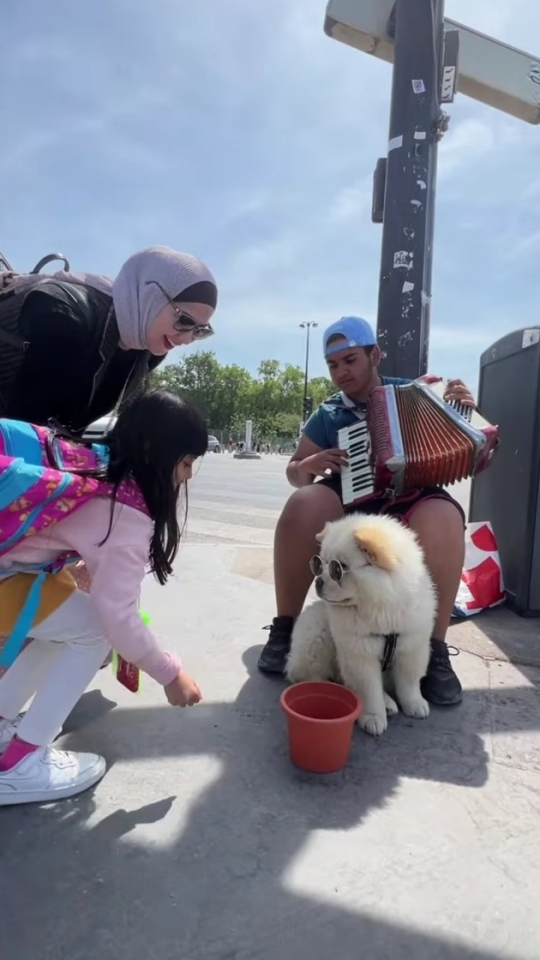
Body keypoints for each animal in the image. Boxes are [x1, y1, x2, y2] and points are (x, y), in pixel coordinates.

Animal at [284, 512, 436, 740]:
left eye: (339, 568)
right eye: (321, 564)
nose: (318, 581)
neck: (381, 609)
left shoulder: (413, 645)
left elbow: (409, 682)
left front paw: (415, 704)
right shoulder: (359, 653)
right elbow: (369, 690)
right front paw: (373, 717)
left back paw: (389, 703)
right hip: (316, 633)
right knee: (316, 676)